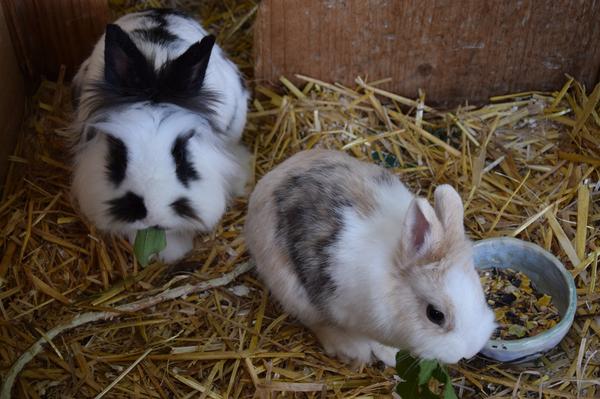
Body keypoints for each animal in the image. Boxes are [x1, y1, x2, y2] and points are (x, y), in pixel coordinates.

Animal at [245, 149, 496, 366]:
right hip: (290, 289)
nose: (468, 351)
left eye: (480, 292)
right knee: (315, 320)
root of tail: (273, 175)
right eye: (435, 314)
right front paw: (379, 355)